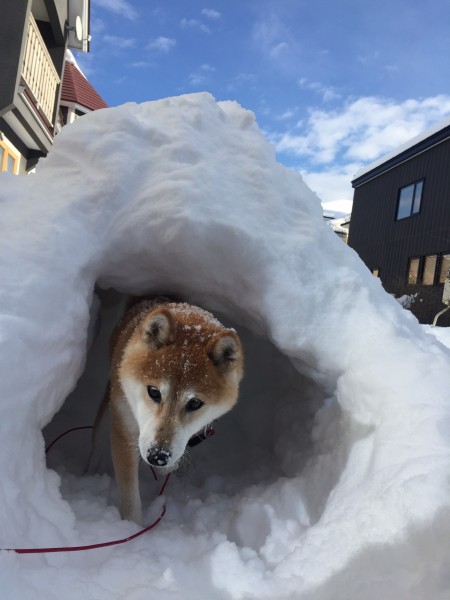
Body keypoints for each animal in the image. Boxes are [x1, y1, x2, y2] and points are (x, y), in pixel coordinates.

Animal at [92, 298, 244, 524]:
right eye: (154, 392)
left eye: (195, 403)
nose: (158, 456)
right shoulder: (124, 428)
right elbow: (129, 495)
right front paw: (131, 527)